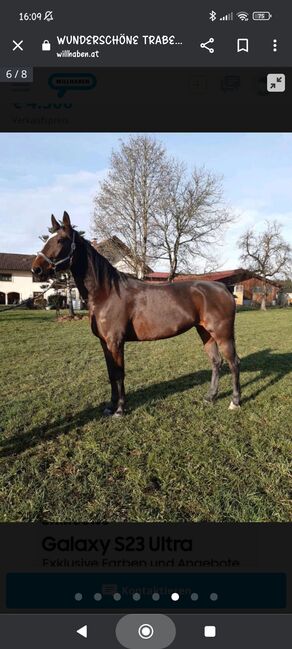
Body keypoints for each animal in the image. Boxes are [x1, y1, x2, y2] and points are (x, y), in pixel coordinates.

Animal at [32, 213, 241, 416]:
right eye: (48, 238)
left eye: (61, 240)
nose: (36, 269)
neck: (107, 293)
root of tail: (223, 287)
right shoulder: (104, 343)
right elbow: (111, 374)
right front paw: (110, 406)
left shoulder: (115, 342)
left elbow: (119, 374)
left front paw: (120, 409)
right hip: (205, 332)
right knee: (216, 362)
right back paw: (210, 397)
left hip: (223, 334)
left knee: (234, 362)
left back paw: (235, 402)